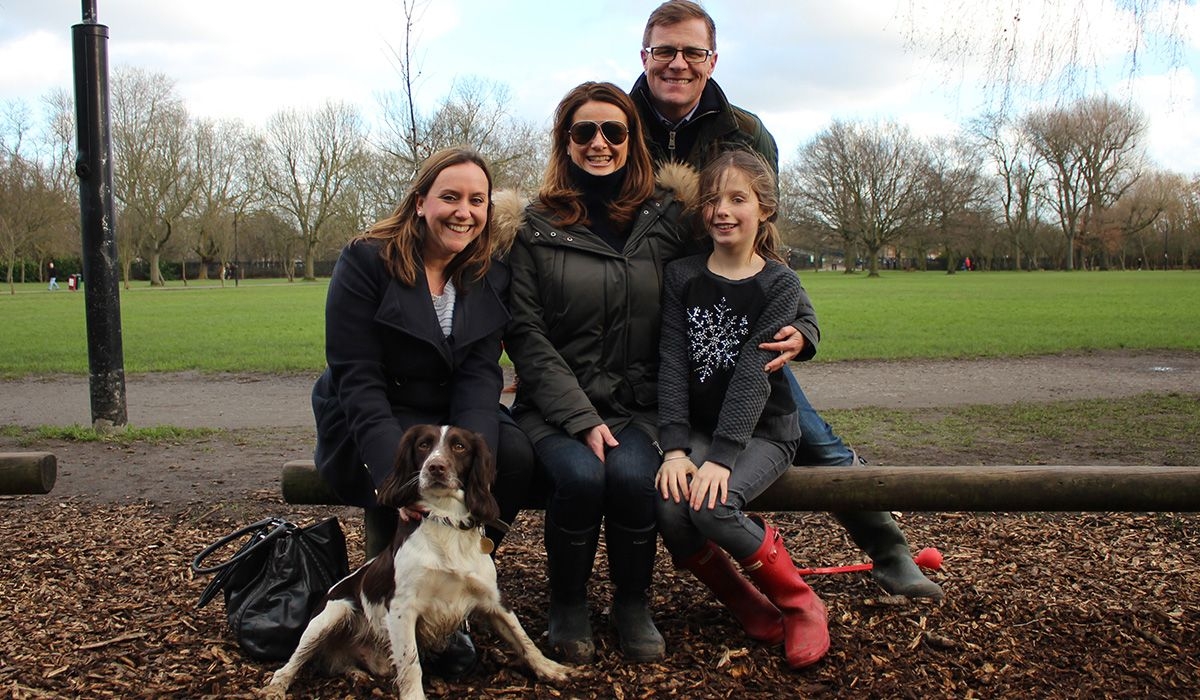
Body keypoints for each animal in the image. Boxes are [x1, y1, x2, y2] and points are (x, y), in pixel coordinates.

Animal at [264, 425, 571, 696]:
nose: (436, 467)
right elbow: (411, 665)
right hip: (331, 614)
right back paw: (276, 688)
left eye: (459, 446)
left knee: (337, 664)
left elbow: (523, 638)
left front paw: (551, 668)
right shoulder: (402, 608)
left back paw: (357, 676)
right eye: (424, 445)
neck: (445, 519)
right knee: (292, 664)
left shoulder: (493, 599)